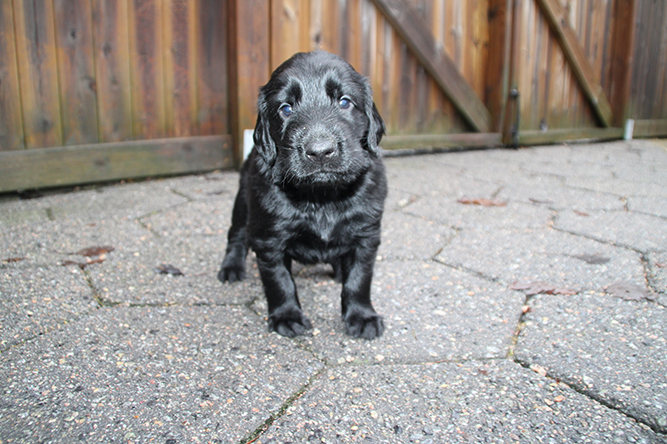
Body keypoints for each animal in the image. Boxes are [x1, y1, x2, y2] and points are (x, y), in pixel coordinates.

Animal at [218, 51, 387, 339]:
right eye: (286, 108)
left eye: (344, 102)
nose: (320, 152)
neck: (321, 197)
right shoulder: (269, 239)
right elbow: (279, 281)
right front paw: (287, 316)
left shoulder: (366, 235)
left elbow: (359, 279)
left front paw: (362, 316)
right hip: (243, 202)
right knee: (237, 234)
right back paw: (231, 267)